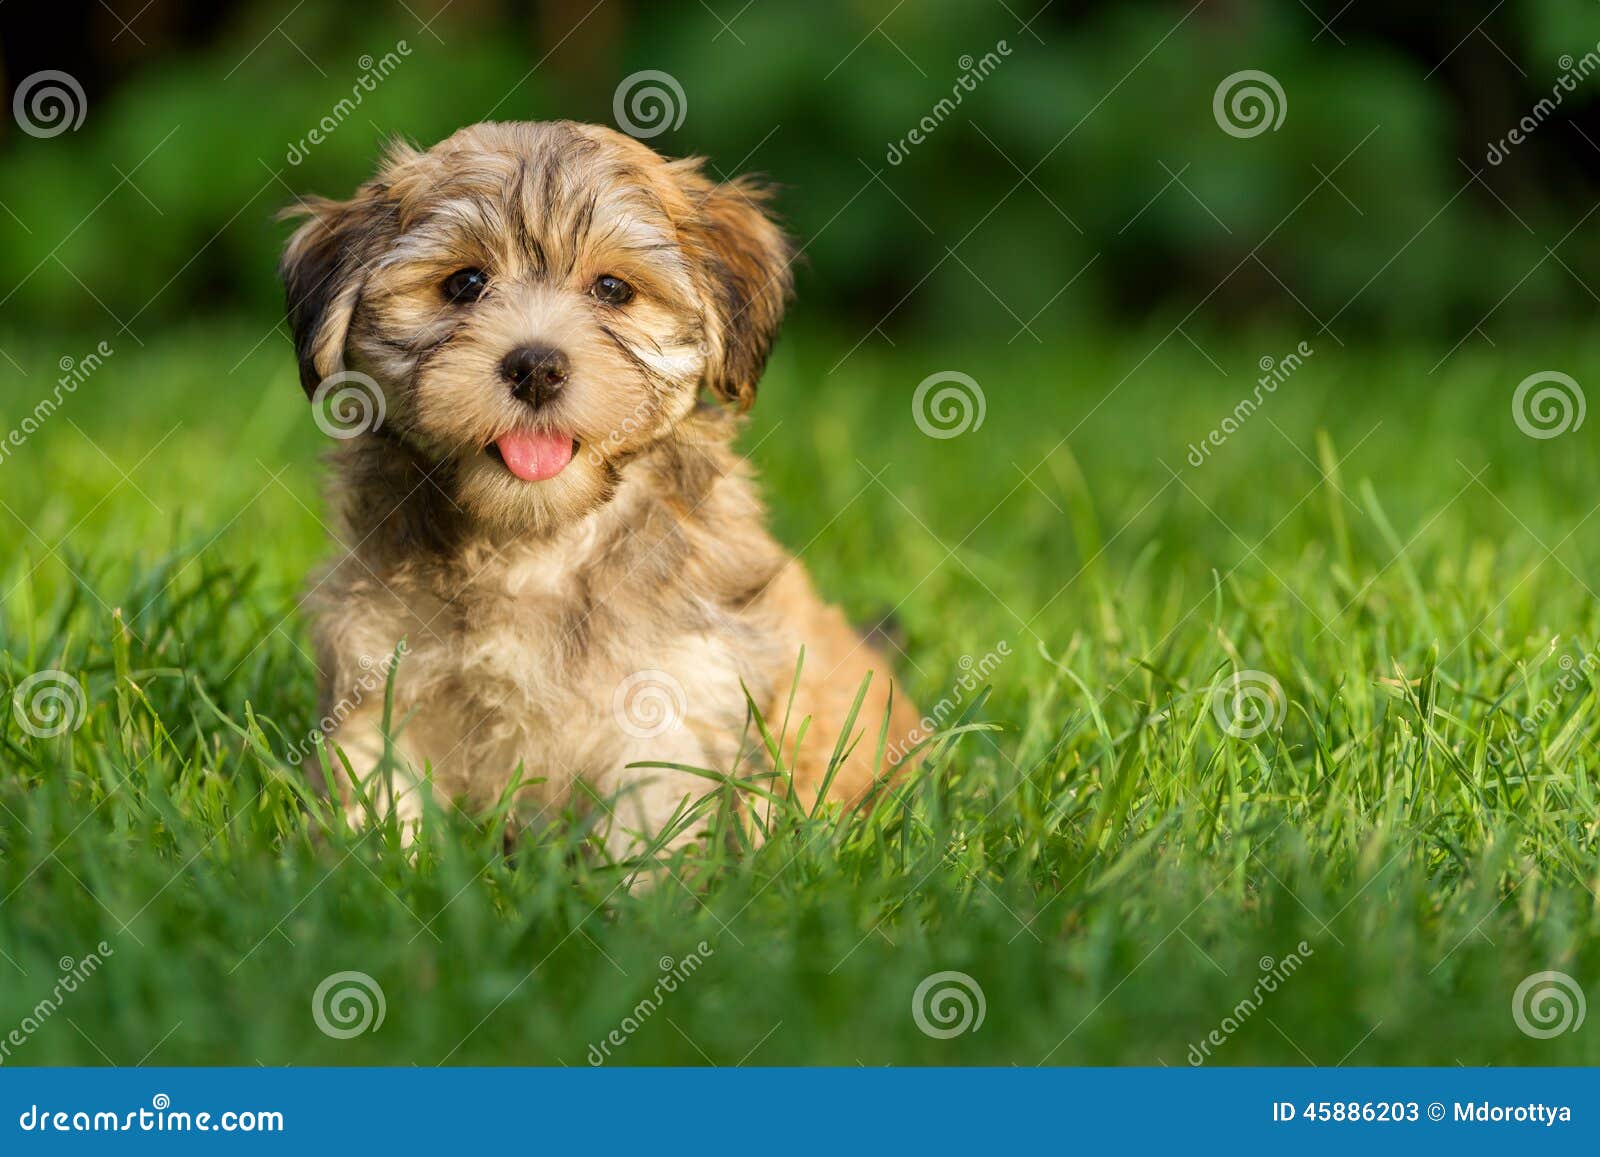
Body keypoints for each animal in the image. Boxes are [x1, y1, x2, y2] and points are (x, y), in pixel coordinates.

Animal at [281, 122, 921, 857]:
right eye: (464, 283)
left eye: (613, 289)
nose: (535, 365)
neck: (537, 541)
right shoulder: (380, 666)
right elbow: (381, 789)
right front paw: (374, 863)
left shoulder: (671, 695)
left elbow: (651, 817)